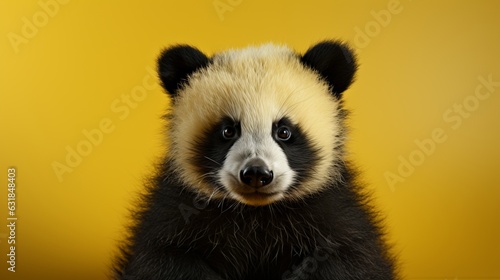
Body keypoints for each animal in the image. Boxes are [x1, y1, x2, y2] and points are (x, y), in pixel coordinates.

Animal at [113, 40, 398, 278]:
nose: (257, 174)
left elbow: (349, 261)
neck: (255, 213)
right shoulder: (177, 211)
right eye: (228, 131)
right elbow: (162, 259)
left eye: (283, 131)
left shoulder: (333, 214)